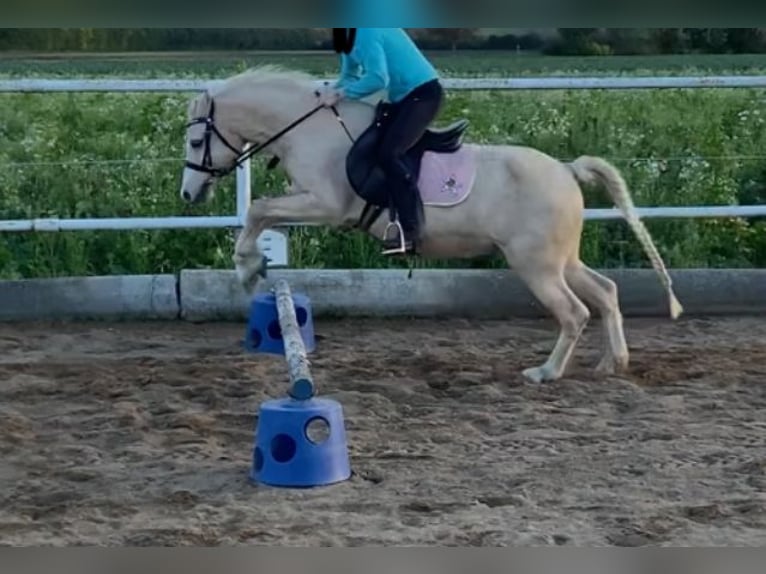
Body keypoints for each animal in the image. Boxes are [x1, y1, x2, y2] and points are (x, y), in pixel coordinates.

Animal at [180, 65, 684, 384]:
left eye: (196, 140)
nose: (188, 195)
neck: (309, 132)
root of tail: (566, 170)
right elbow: (261, 210)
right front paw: (251, 266)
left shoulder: (326, 205)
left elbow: (259, 209)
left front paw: (248, 268)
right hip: (562, 260)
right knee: (606, 292)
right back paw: (612, 363)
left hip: (536, 266)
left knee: (575, 312)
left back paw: (546, 373)